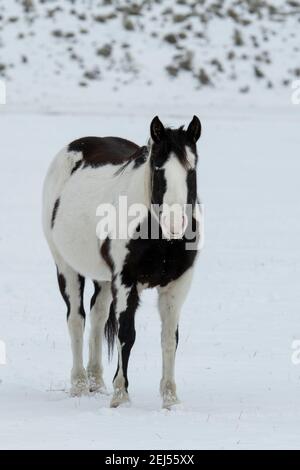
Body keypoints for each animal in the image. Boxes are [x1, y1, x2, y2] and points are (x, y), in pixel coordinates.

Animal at [42, 116, 202, 408]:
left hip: (105, 280)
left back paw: (95, 382)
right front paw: (120, 396)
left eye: (192, 169)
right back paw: (79, 384)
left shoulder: (177, 285)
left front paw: (170, 399)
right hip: (67, 268)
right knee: (76, 320)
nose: (175, 224)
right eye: (158, 167)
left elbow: (169, 338)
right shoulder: (126, 282)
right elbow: (126, 335)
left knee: (97, 315)